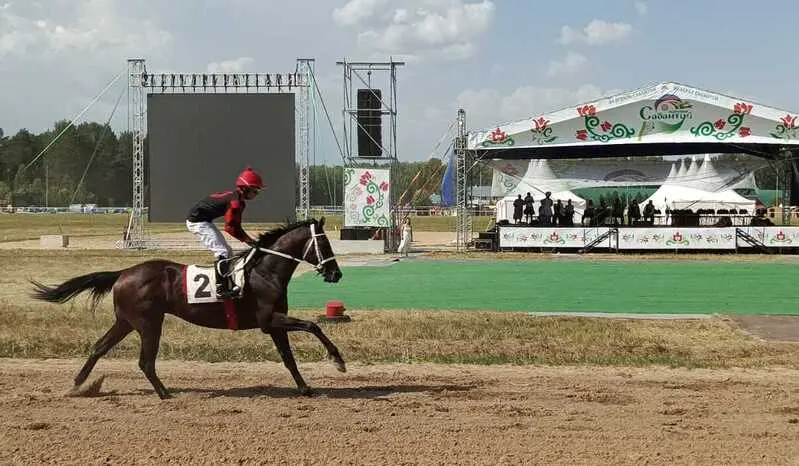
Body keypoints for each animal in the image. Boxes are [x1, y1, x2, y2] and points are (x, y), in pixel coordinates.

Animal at [27, 217, 346, 398]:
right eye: (325, 245)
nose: (336, 274)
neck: (264, 271)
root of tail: (123, 273)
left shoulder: (272, 325)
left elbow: (289, 358)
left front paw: (305, 388)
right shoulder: (269, 319)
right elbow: (312, 325)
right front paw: (338, 360)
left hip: (127, 321)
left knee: (99, 347)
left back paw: (78, 384)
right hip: (148, 323)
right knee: (145, 361)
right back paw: (164, 393)